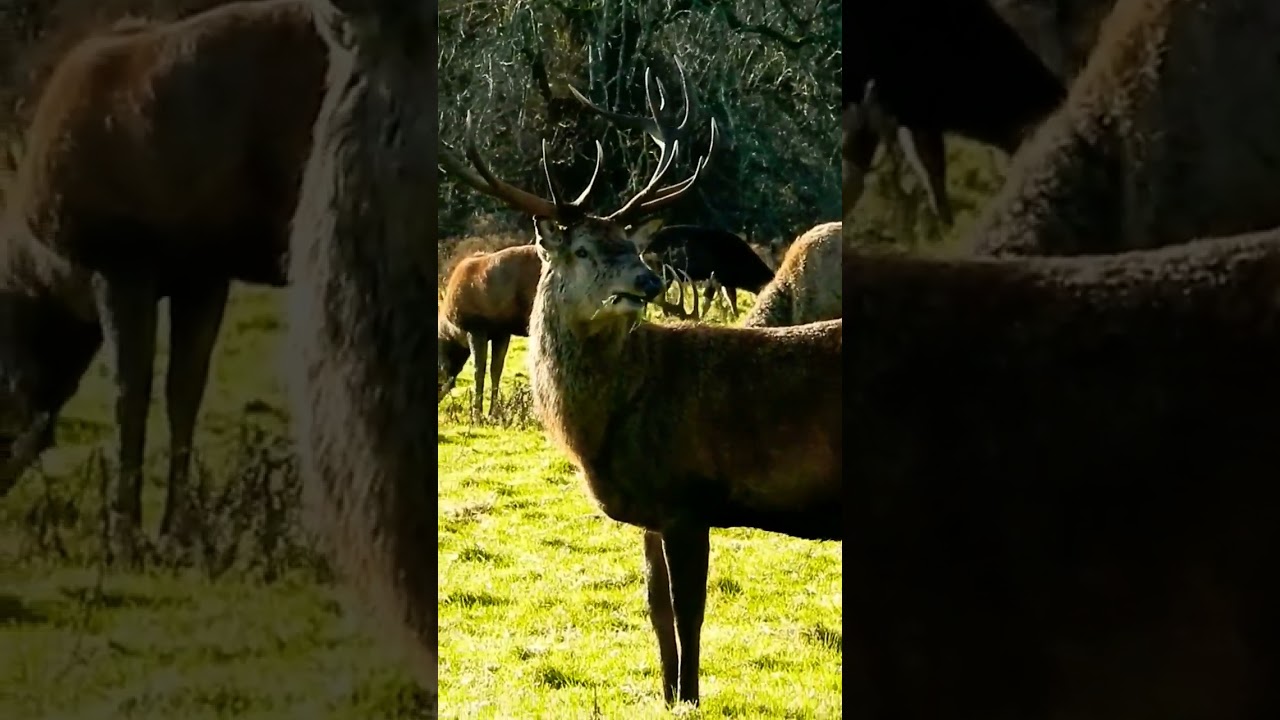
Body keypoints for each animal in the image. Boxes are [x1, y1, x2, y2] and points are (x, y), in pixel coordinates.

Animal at [0, 0, 328, 561]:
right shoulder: (203, 271)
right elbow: (183, 393)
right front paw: (179, 530)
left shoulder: (123, 261)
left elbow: (129, 396)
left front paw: (125, 535)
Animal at [436, 243, 541, 419]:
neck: (453, 332)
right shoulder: (502, 332)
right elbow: (496, 370)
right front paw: (494, 413)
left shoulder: (476, 329)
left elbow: (479, 371)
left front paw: (477, 415)